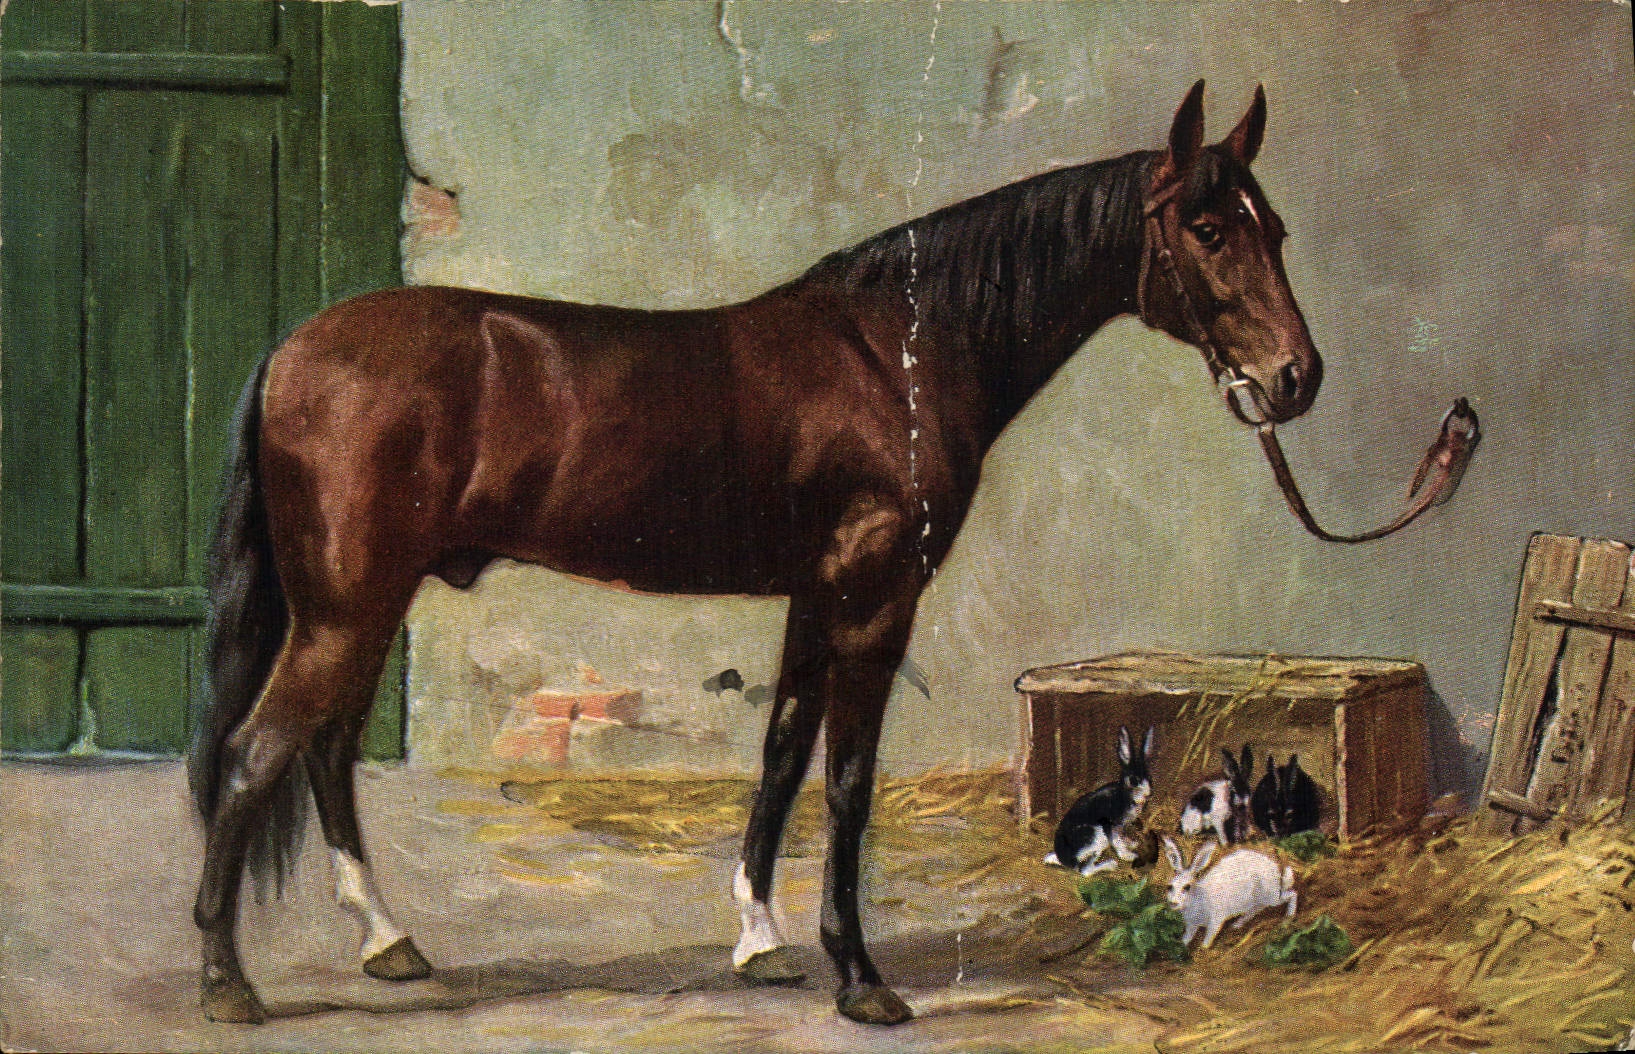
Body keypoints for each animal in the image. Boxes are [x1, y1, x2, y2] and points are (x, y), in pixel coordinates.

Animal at [187, 80, 1321, 1027]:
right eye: (1209, 228)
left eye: (1276, 228)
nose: (1295, 376)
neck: (896, 354)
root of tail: (290, 352)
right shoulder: (874, 599)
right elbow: (847, 782)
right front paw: (860, 978)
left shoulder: (815, 599)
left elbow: (780, 757)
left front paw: (760, 941)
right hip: (346, 609)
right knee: (253, 755)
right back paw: (229, 984)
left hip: (363, 607)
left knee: (323, 750)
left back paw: (387, 942)